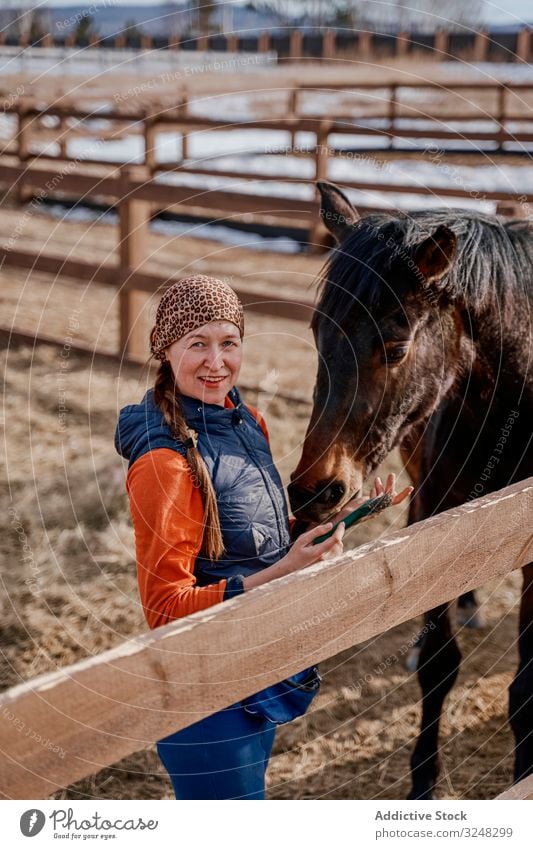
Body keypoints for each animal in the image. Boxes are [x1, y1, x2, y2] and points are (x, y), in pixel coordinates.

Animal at [288, 182, 532, 800]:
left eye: (396, 349)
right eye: (318, 334)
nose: (314, 492)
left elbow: (526, 684)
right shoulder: (436, 513)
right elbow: (439, 667)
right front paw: (423, 780)